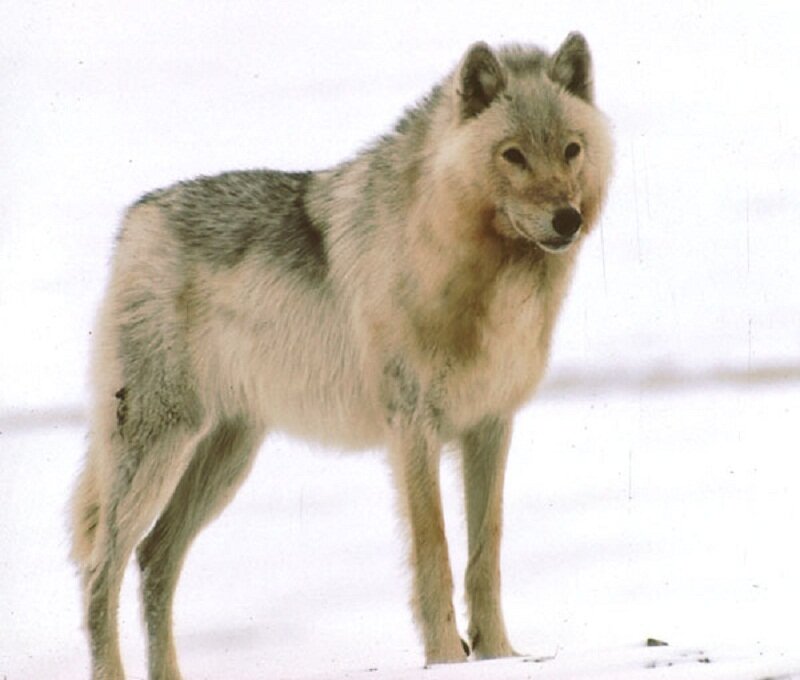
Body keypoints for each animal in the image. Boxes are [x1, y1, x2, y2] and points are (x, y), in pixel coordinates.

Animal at [70, 32, 612, 679]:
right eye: (513, 155)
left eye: (571, 150)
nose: (567, 219)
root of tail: (135, 221)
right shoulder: (413, 428)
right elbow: (434, 554)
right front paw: (444, 658)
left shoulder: (489, 426)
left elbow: (487, 555)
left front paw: (500, 654)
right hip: (159, 449)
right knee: (101, 572)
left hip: (226, 458)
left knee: (154, 559)